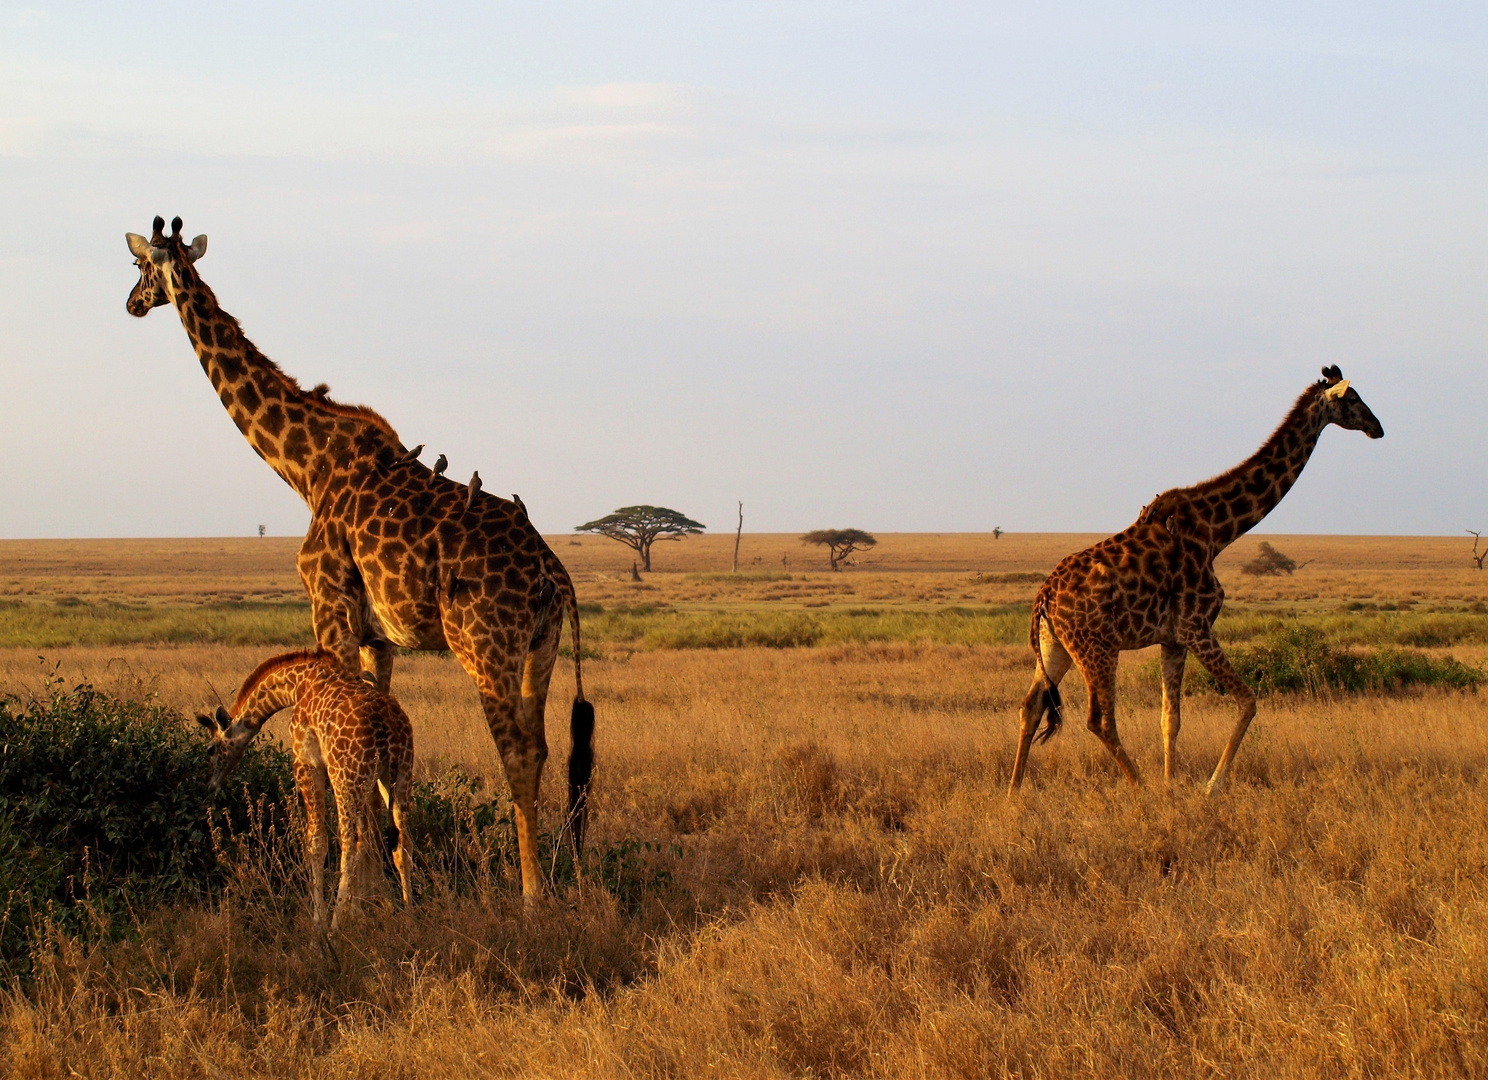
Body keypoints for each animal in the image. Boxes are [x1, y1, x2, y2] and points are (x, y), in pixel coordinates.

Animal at [124, 217, 592, 898]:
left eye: (138, 267)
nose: (131, 304)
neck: (306, 466)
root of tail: (556, 578)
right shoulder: (380, 638)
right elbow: (378, 749)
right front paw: (396, 885)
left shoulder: (329, 611)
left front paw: (360, 891)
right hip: (542, 647)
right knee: (548, 747)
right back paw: (564, 878)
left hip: (486, 646)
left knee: (519, 751)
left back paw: (532, 896)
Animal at [199, 648, 413, 934]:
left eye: (210, 749)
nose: (210, 784)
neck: (297, 684)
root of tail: (390, 725)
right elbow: (365, 839)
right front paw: (357, 913)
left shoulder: (307, 762)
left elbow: (316, 842)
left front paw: (319, 923)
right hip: (398, 774)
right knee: (400, 842)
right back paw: (410, 915)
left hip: (346, 776)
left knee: (348, 844)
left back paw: (334, 926)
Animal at [1011, 367, 1380, 797]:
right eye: (1353, 399)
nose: (1378, 428)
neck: (1218, 531)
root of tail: (1044, 597)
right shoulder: (1197, 626)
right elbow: (1248, 700)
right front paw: (1210, 786)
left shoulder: (1173, 638)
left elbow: (1170, 720)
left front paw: (1173, 786)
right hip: (1097, 647)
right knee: (1098, 718)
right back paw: (1141, 788)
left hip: (1057, 647)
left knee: (1031, 706)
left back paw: (1013, 793)